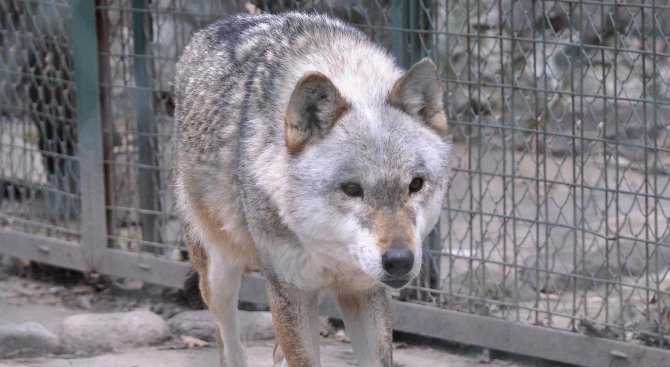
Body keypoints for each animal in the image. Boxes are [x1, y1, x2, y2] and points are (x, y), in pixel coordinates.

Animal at [176, 11, 454, 367]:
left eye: (415, 185)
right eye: (352, 189)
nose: (399, 260)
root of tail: (215, 26)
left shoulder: (363, 291)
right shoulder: (289, 289)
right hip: (219, 275)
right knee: (225, 338)